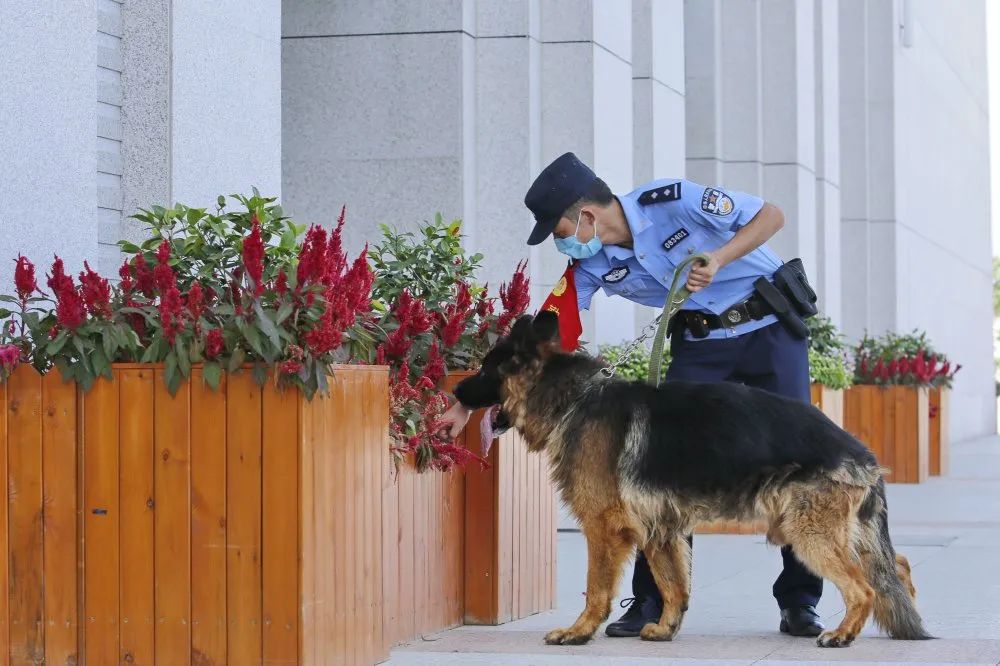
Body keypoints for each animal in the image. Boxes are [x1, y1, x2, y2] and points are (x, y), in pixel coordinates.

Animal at [454, 312, 928, 648]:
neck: (572, 397)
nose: (454, 391)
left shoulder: (604, 528)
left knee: (864, 587)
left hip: (807, 531)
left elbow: (596, 587)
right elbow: (673, 585)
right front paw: (666, 629)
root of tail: (862, 452)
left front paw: (578, 632)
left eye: (484, 371)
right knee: (898, 565)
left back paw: (842, 634)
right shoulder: (661, 530)